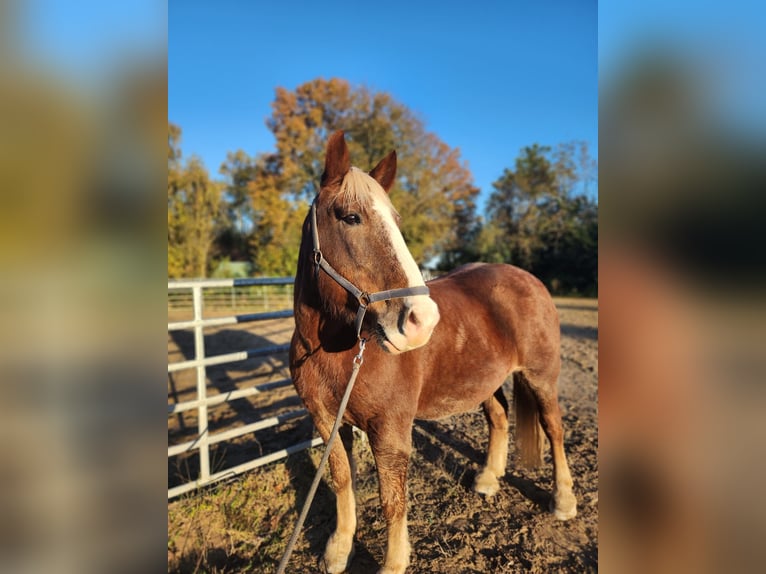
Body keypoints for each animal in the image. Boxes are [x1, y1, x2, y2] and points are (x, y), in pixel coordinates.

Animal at [289, 131, 577, 574]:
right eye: (351, 217)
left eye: (396, 221)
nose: (421, 321)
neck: (333, 352)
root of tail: (529, 279)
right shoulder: (326, 420)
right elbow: (341, 479)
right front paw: (338, 550)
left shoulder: (390, 429)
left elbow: (393, 501)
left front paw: (392, 563)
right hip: (485, 380)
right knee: (499, 418)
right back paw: (488, 479)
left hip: (540, 376)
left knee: (554, 429)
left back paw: (563, 501)